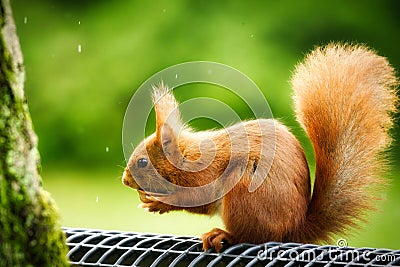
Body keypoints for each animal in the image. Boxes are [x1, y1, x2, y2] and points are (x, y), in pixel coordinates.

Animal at [123, 44, 398, 253]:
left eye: (142, 162)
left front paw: (159, 202)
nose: (125, 181)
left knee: (252, 237)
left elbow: (196, 200)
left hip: (244, 191)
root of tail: (293, 231)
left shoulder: (205, 175)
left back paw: (223, 235)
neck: (186, 158)